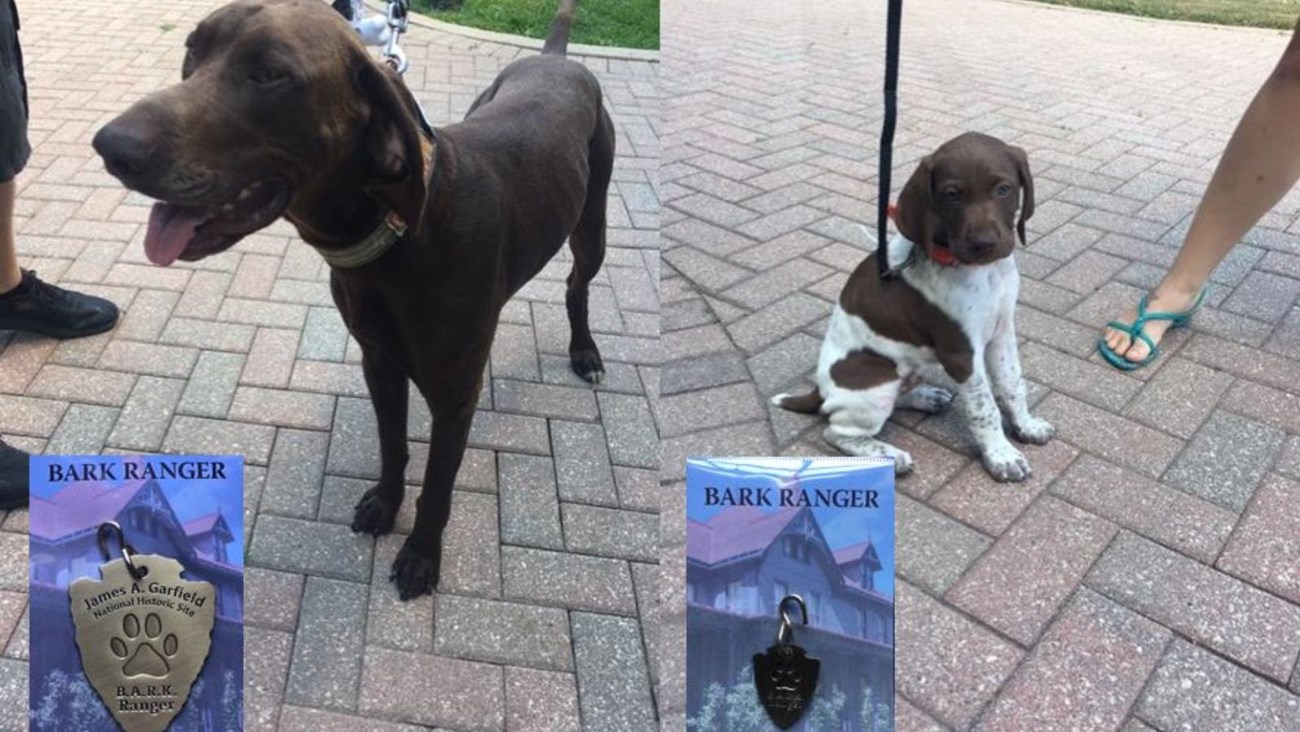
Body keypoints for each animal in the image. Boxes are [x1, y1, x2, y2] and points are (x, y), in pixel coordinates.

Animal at [96, 0, 613, 598]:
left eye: (269, 74)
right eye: (191, 51)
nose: (111, 146)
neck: (396, 239)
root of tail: (555, 59)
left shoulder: (455, 394)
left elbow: (438, 485)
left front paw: (420, 555)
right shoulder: (379, 362)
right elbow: (393, 444)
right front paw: (386, 504)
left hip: (592, 224)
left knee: (577, 285)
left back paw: (585, 352)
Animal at [769, 134, 1055, 483]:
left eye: (1003, 189)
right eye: (951, 195)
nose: (985, 244)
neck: (982, 272)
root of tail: (819, 391)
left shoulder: (1001, 333)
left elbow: (1012, 384)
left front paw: (1026, 426)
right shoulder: (960, 352)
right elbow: (983, 406)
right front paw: (1001, 456)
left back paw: (925, 397)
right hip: (875, 378)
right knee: (836, 431)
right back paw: (890, 456)